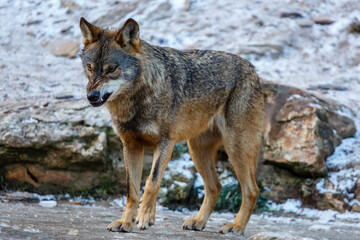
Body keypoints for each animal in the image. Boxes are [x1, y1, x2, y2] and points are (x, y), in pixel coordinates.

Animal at [79, 17, 264, 235]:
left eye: (111, 69)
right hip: (197, 151)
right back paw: (198, 221)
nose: (91, 96)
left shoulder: (166, 143)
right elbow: (132, 190)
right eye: (90, 67)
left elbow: (151, 182)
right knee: (215, 187)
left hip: (235, 148)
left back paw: (236, 226)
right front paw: (126, 222)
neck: (138, 99)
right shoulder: (130, 146)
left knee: (252, 190)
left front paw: (143, 219)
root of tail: (252, 69)